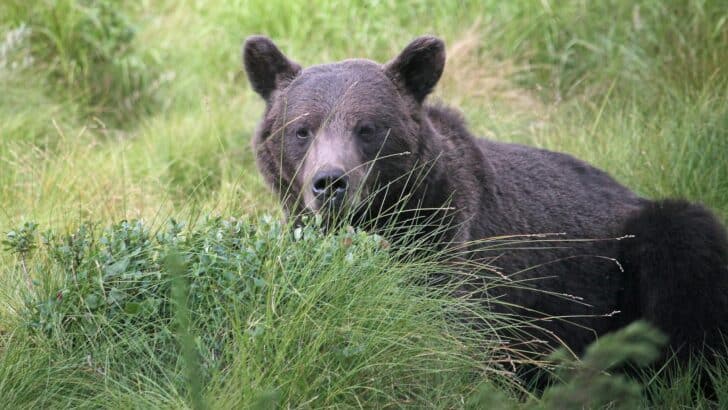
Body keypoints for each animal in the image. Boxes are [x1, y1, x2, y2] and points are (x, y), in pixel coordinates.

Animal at [242, 35, 728, 360]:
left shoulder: (454, 245)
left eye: (368, 128)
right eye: (302, 129)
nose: (330, 183)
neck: (387, 215)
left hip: (638, 247)